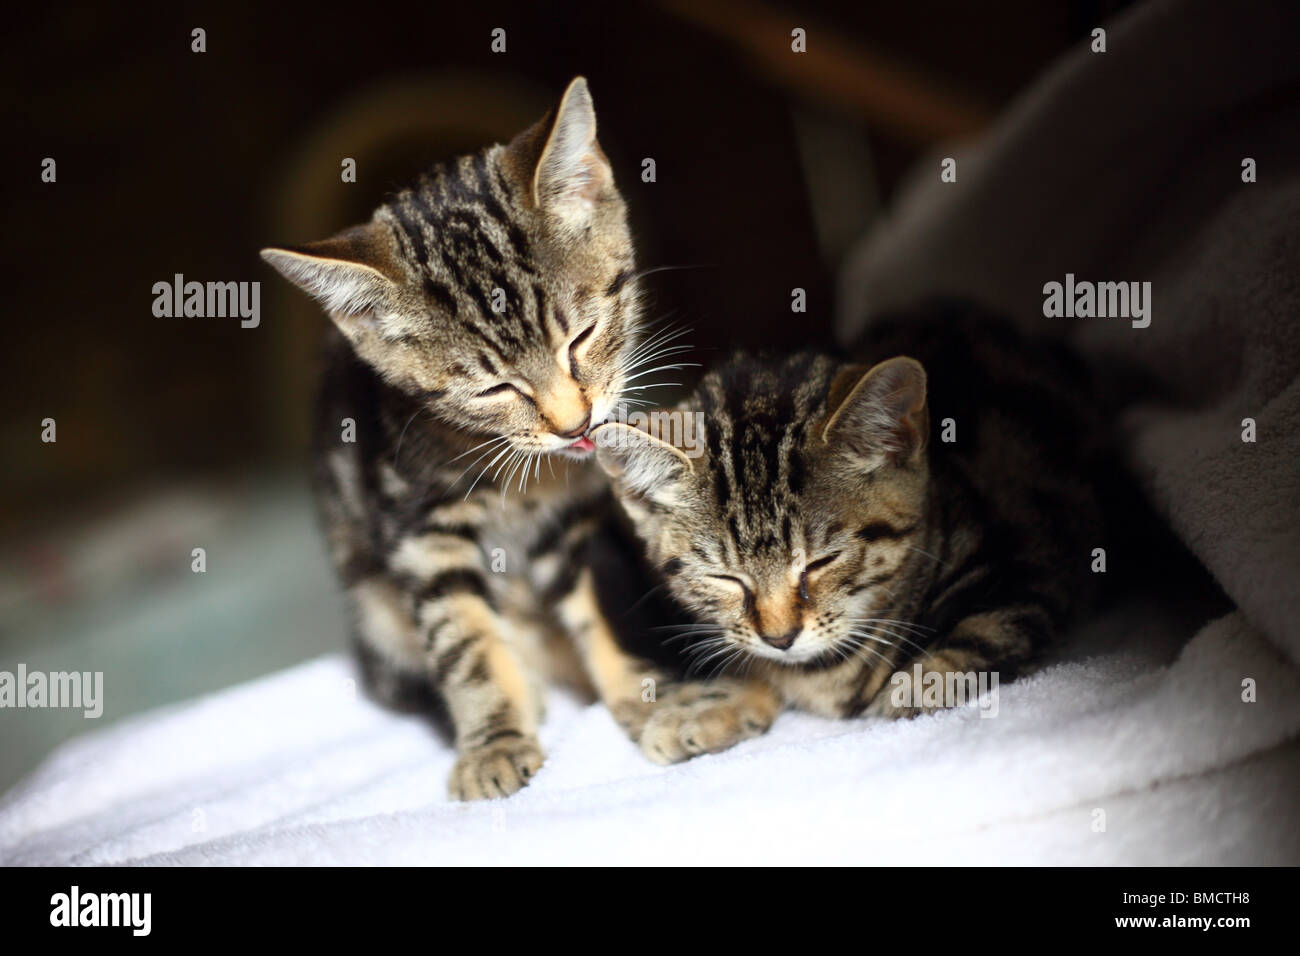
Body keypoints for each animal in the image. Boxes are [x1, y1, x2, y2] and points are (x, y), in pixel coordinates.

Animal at [260, 76, 748, 801]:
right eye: (495, 389)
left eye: (582, 336)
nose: (574, 423)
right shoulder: (419, 527)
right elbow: (464, 638)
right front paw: (495, 740)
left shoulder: (572, 521)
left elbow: (598, 607)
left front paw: (652, 696)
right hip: (375, 615)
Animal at [595, 303, 1112, 738]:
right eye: (725, 578)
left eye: (821, 563)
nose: (780, 638)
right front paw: (710, 705)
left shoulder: (1033, 565)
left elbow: (983, 633)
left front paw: (915, 688)